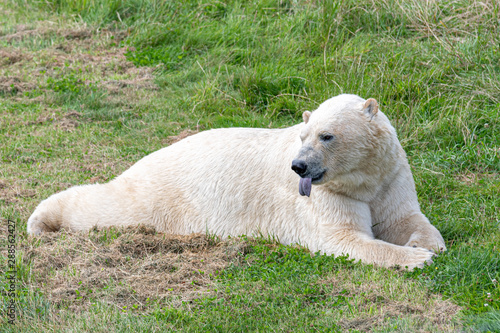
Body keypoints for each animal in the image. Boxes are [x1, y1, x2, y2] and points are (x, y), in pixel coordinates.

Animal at [27, 93, 446, 270]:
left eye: (326, 136)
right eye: (303, 134)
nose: (298, 167)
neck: (361, 178)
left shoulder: (390, 174)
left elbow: (404, 217)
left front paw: (424, 244)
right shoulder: (323, 195)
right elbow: (344, 239)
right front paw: (416, 258)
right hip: (158, 195)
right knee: (107, 204)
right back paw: (44, 218)